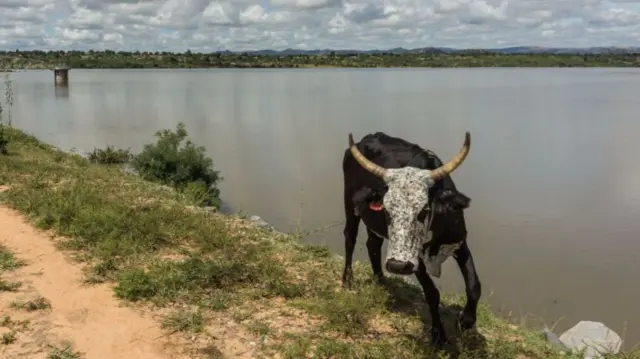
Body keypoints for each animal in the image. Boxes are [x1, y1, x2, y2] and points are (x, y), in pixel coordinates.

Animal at [340, 131, 480, 348]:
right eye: (387, 210)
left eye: (424, 211)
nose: (397, 266)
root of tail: (367, 138)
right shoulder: (415, 261)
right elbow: (432, 293)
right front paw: (439, 335)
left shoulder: (460, 243)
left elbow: (474, 286)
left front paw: (466, 321)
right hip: (350, 206)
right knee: (350, 238)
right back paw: (348, 281)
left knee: (373, 244)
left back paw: (381, 281)